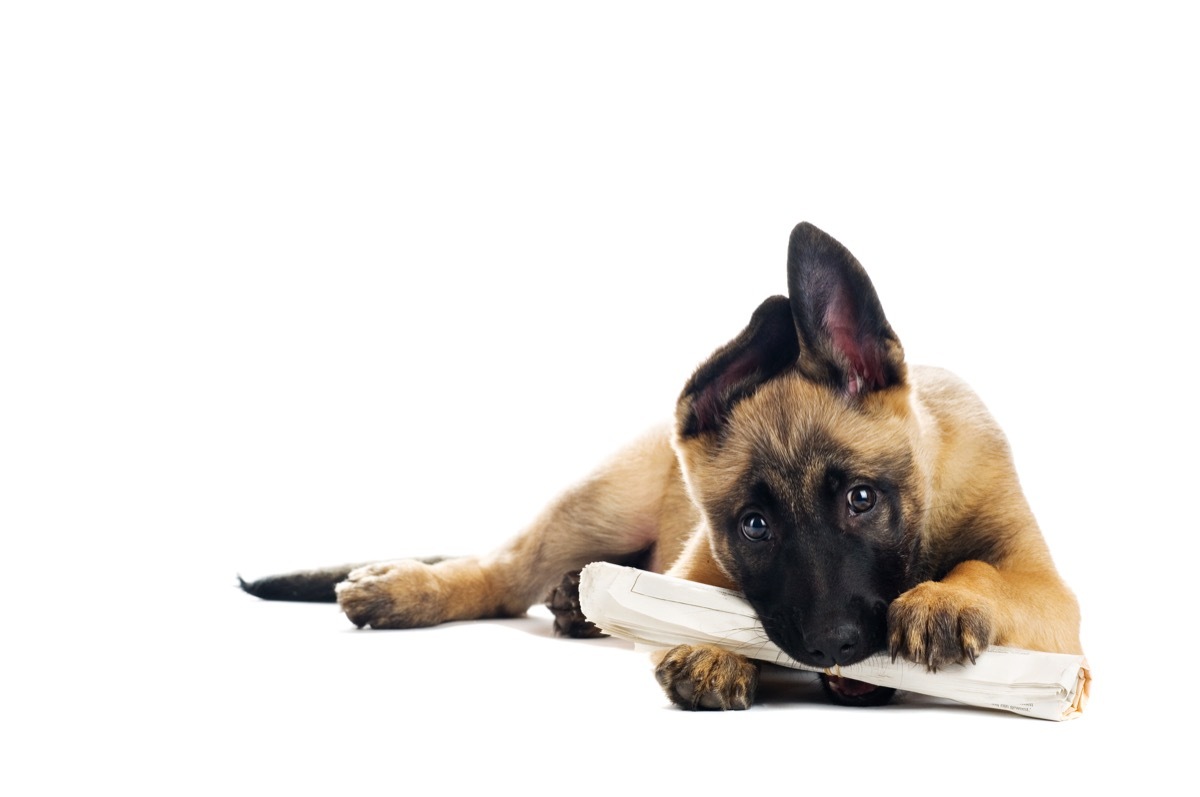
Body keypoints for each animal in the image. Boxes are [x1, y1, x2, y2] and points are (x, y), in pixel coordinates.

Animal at [238, 222, 1084, 710]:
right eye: (754, 525)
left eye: (861, 499)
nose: (836, 645)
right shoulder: (697, 566)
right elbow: (688, 606)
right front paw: (709, 647)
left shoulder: (1051, 595)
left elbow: (987, 572)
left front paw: (943, 598)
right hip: (590, 506)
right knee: (498, 573)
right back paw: (407, 588)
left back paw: (571, 604)